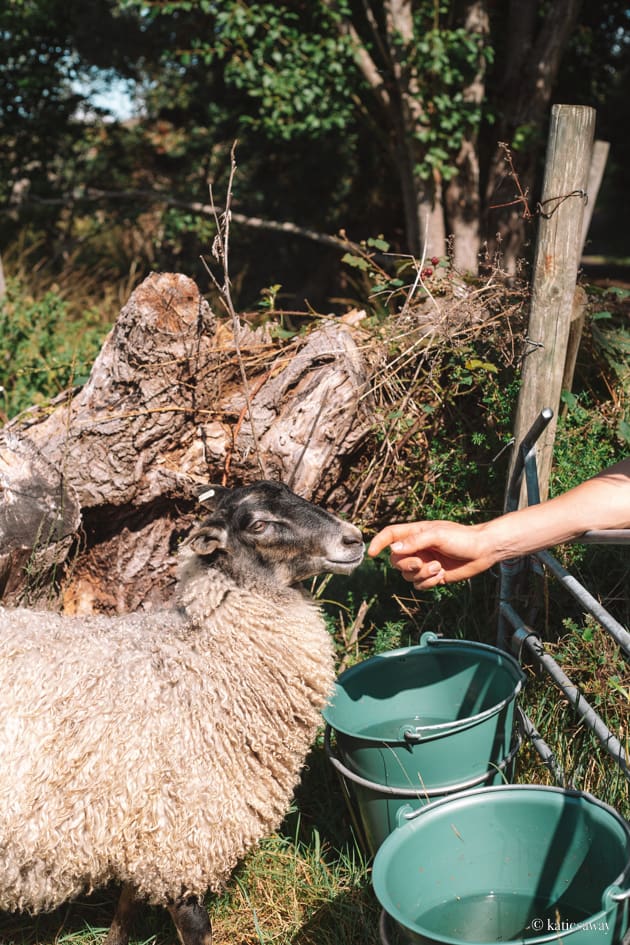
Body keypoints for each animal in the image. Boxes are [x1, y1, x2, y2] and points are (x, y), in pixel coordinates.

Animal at [0, 484, 366, 944]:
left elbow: (125, 913)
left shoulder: (149, 831)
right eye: (259, 525)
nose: (354, 539)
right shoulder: (185, 840)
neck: (197, 658)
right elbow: (196, 930)